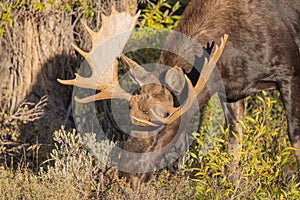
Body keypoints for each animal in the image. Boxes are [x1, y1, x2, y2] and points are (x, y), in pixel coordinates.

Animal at [58, 0, 300, 188]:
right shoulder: (231, 93)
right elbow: (234, 143)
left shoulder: (289, 72)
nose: (126, 176)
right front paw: (232, 185)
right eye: (130, 119)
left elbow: (294, 137)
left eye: (162, 125)